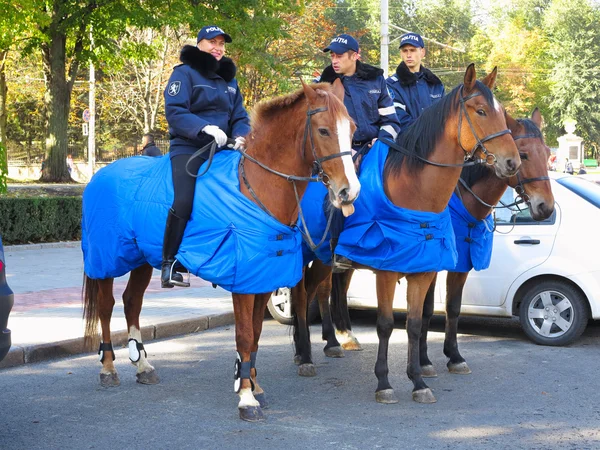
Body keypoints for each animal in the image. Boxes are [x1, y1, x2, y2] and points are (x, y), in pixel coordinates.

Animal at [81, 78, 358, 422]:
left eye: (352, 128)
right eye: (323, 130)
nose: (349, 191)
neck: (256, 188)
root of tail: (101, 175)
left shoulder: (262, 279)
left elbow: (255, 333)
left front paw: (253, 384)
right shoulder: (242, 283)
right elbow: (244, 334)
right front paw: (246, 397)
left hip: (143, 258)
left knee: (132, 302)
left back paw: (143, 365)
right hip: (105, 258)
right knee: (106, 307)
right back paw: (107, 368)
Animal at [290, 63, 520, 404]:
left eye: (502, 113)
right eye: (480, 111)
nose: (512, 162)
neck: (416, 192)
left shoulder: (422, 271)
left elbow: (414, 323)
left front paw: (418, 379)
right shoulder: (386, 271)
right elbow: (386, 325)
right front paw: (384, 382)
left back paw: (324, 344)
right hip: (315, 256)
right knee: (303, 293)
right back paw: (305, 355)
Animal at [418, 107, 552, 378]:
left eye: (547, 153)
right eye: (523, 154)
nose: (547, 207)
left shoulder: (462, 266)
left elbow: (453, 307)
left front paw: (454, 356)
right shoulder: (430, 266)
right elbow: (425, 309)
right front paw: (424, 361)